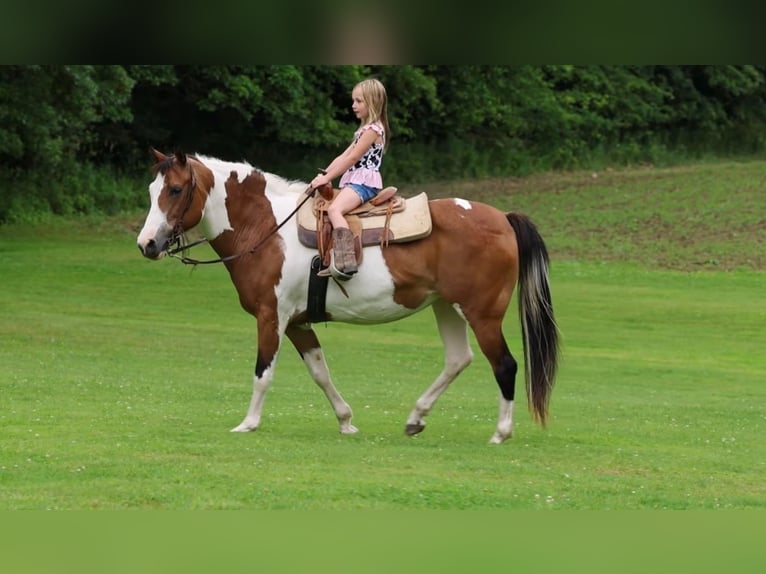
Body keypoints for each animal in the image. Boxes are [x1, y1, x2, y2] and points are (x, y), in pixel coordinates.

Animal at [136, 149, 559, 444]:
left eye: (175, 190)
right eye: (153, 191)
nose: (147, 244)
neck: (267, 229)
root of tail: (502, 218)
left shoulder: (271, 316)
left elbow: (263, 373)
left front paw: (248, 423)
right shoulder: (298, 323)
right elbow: (320, 372)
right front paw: (346, 421)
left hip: (481, 313)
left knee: (504, 365)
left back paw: (500, 432)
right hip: (447, 307)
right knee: (459, 359)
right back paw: (416, 417)